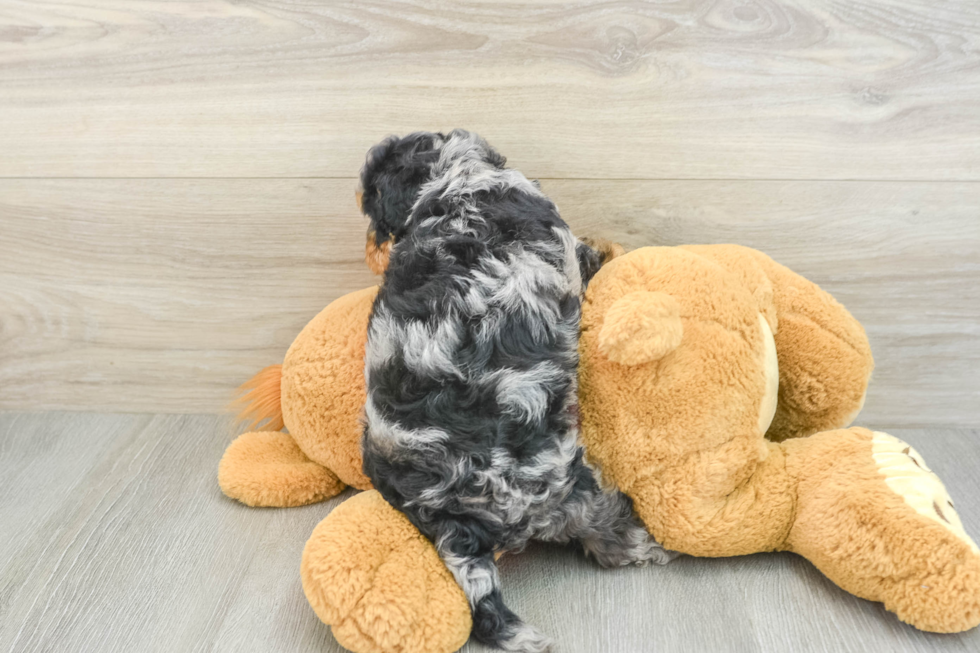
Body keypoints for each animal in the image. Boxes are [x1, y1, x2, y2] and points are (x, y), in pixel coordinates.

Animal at [360, 130, 672, 648]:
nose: (371, 240)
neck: (455, 178)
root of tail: (451, 514)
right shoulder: (568, 249)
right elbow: (592, 255)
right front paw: (614, 251)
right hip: (569, 488)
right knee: (607, 534)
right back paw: (648, 545)